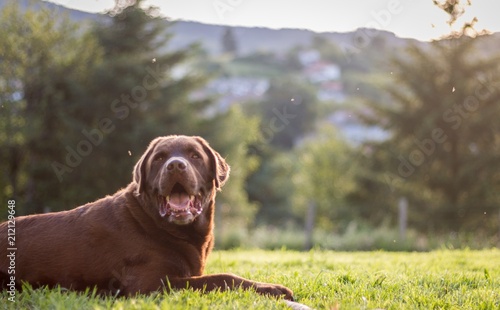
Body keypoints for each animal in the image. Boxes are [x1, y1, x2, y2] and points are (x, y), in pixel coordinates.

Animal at [0, 136, 292, 300]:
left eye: (194, 155)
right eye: (160, 158)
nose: (175, 165)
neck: (158, 225)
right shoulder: (150, 285)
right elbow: (221, 277)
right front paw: (273, 289)